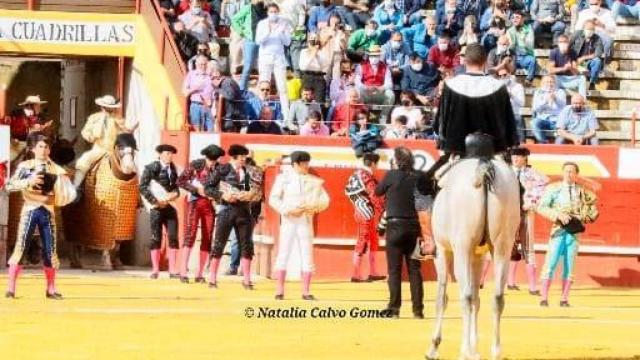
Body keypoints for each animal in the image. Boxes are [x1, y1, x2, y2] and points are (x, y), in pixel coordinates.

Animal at [424, 155, 520, 360]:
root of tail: (483, 165)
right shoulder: (478, 257)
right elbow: (477, 299)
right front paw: (474, 348)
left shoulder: (442, 251)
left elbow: (442, 298)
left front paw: (434, 347)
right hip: (502, 248)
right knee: (497, 297)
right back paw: (495, 351)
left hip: (462, 247)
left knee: (466, 297)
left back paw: (465, 351)